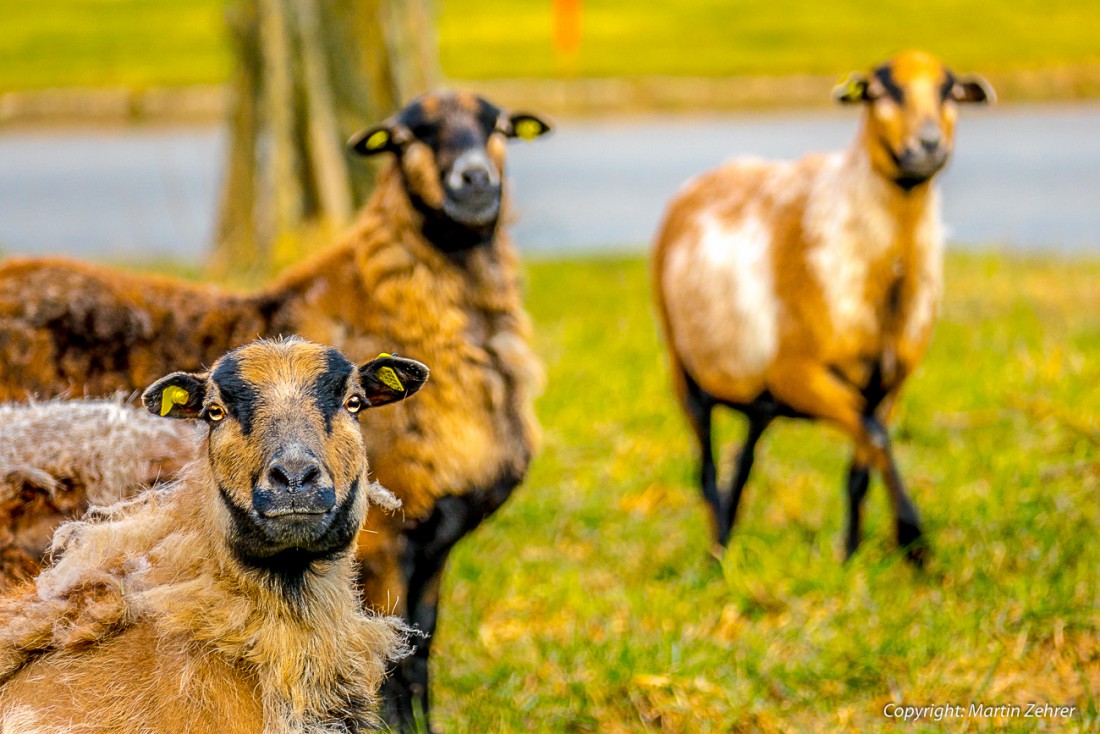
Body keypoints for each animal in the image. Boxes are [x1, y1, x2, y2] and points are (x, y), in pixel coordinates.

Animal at [651, 51, 998, 567]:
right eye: (880, 92)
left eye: (950, 92)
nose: (928, 146)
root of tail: (702, 179)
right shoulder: (800, 372)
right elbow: (875, 438)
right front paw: (913, 540)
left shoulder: (889, 383)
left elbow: (862, 466)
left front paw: (851, 556)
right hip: (685, 367)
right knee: (707, 469)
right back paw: (718, 556)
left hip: (759, 391)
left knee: (745, 457)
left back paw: (728, 538)